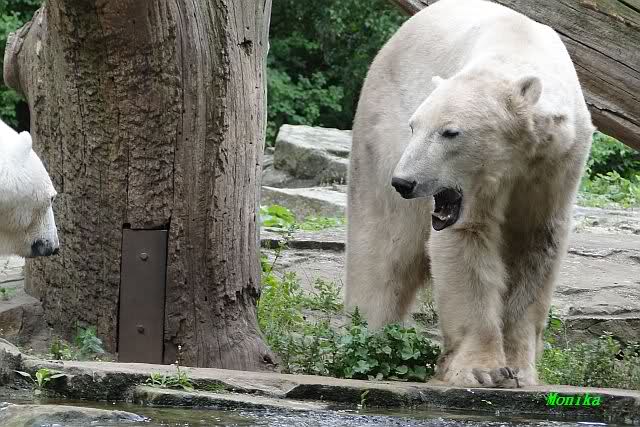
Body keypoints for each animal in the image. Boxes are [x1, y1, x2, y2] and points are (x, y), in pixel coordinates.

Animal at [345, 0, 593, 388]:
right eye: (415, 126)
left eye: (450, 132)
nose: (404, 182)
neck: (517, 47)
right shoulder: (471, 190)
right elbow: (468, 242)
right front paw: (483, 370)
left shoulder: (557, 164)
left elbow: (536, 247)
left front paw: (520, 370)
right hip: (380, 128)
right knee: (383, 244)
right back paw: (368, 337)